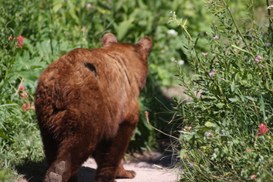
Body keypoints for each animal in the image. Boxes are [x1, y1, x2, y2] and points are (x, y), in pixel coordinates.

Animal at [34, 33, 151, 182]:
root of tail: (59, 85)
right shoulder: (121, 109)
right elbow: (115, 145)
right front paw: (116, 174)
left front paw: (126, 172)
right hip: (87, 107)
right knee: (79, 143)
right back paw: (58, 173)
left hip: (47, 115)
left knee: (52, 145)